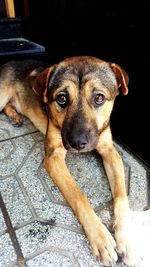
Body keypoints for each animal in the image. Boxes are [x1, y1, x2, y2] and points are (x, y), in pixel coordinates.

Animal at [0, 56, 134, 266]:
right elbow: (79, 197)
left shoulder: (110, 152)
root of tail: (9, 61)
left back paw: (14, 116)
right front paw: (100, 237)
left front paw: (127, 237)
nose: (77, 143)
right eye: (61, 98)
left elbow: (121, 197)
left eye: (99, 98)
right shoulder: (54, 157)